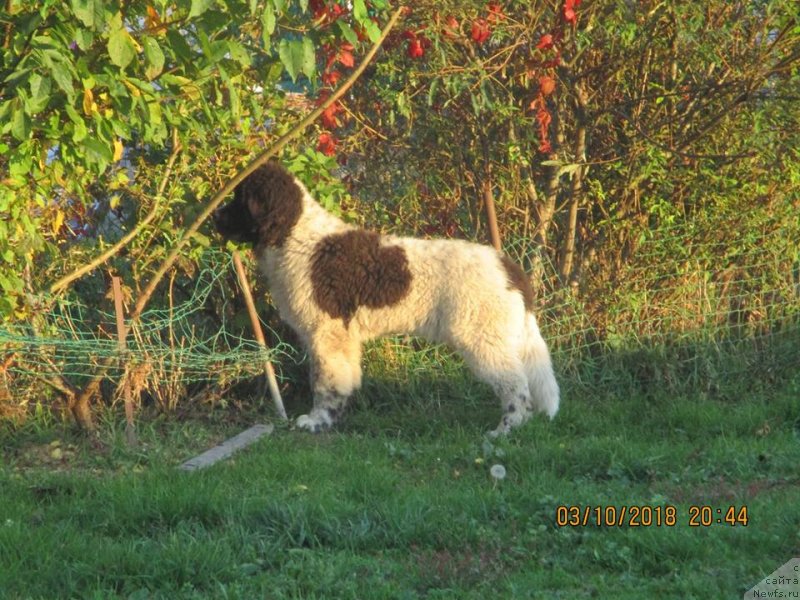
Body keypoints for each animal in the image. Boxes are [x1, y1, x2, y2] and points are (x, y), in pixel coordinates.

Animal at [214, 162, 564, 434]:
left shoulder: (326, 331)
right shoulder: (341, 336)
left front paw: (318, 421)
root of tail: (507, 266)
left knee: (516, 386)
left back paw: (505, 430)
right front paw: (336, 417)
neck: (297, 236)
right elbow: (343, 378)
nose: (214, 216)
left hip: (482, 336)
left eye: (239, 200)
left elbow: (325, 382)